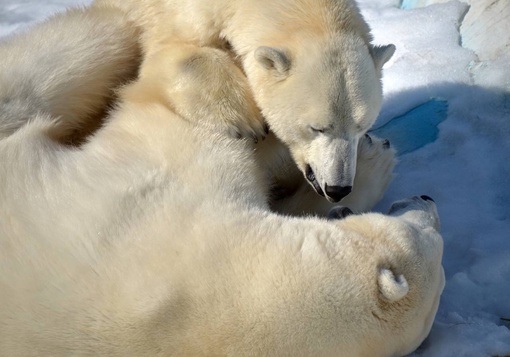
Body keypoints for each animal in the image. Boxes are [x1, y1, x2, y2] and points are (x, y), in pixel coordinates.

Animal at [93, 0, 398, 203]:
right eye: (317, 127)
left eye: (362, 126)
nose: (338, 189)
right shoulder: (175, 18)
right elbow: (170, 54)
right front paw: (244, 119)